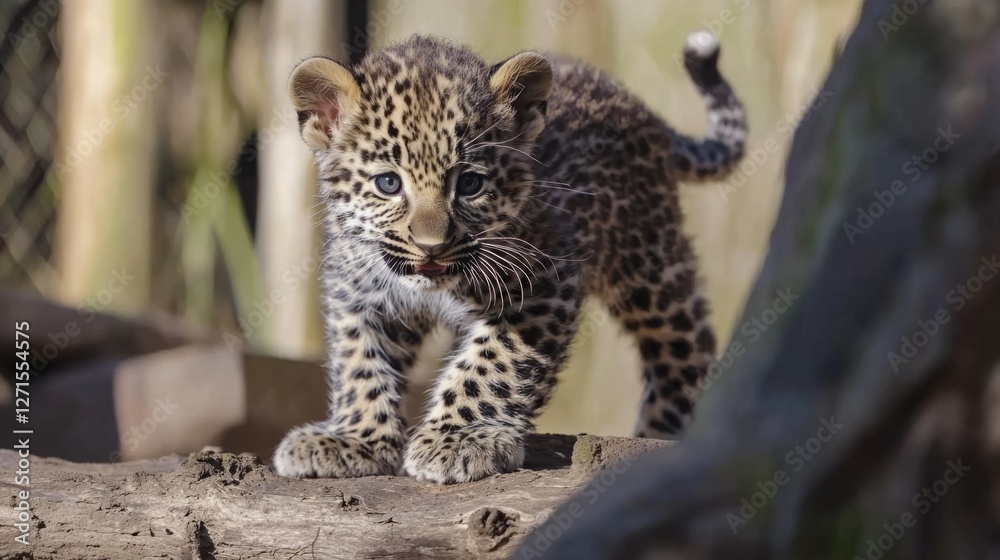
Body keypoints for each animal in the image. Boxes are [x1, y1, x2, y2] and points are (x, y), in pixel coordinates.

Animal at [272, 30, 747, 484]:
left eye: (470, 184)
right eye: (388, 183)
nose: (431, 246)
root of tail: (636, 105)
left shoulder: (546, 283)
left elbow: (492, 365)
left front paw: (458, 439)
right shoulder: (357, 290)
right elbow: (361, 363)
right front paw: (355, 439)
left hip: (648, 262)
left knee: (686, 343)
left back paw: (663, 435)